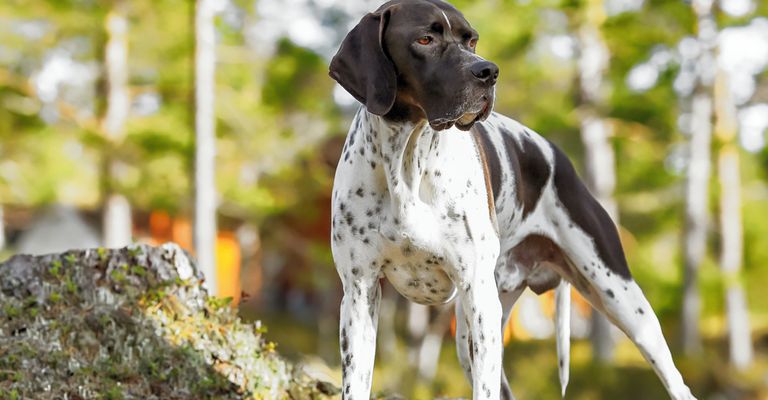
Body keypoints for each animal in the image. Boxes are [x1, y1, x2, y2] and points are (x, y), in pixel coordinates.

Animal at [328, 1, 700, 398]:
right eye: (424, 39)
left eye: (471, 40)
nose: (488, 72)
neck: (406, 163)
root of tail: (558, 156)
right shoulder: (359, 294)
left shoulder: (477, 293)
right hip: (473, 330)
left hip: (621, 302)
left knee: (676, 382)